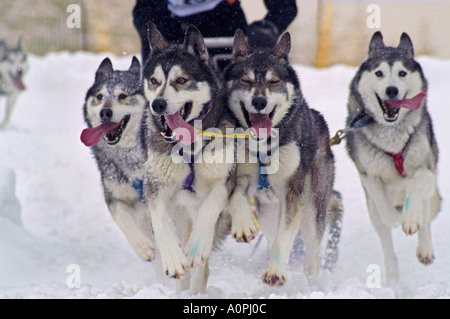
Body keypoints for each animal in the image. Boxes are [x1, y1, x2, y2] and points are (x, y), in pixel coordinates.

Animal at [81, 58, 156, 264]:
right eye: (99, 96)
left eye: (122, 96)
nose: (105, 112)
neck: (129, 157)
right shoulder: (115, 197)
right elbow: (124, 219)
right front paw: (143, 247)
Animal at [143, 21, 236, 294]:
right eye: (154, 81)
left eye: (181, 80)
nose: (158, 104)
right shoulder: (154, 186)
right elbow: (160, 220)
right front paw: (174, 259)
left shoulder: (225, 179)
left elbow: (210, 207)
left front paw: (196, 247)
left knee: (200, 269)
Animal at [223, 30, 340, 288]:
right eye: (246, 81)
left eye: (273, 82)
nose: (259, 102)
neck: (263, 146)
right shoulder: (243, 179)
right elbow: (237, 198)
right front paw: (243, 226)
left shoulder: (291, 194)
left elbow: (284, 238)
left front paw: (275, 271)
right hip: (268, 212)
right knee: (272, 233)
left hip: (311, 209)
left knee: (311, 253)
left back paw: (310, 283)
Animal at [346, 31, 442, 282]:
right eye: (379, 73)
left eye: (402, 73)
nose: (391, 90)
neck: (393, 135)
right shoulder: (368, 175)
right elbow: (384, 209)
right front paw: (397, 219)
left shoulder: (426, 168)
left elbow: (415, 185)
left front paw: (409, 218)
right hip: (372, 212)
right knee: (387, 244)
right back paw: (393, 279)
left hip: (430, 191)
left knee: (425, 216)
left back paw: (424, 247)